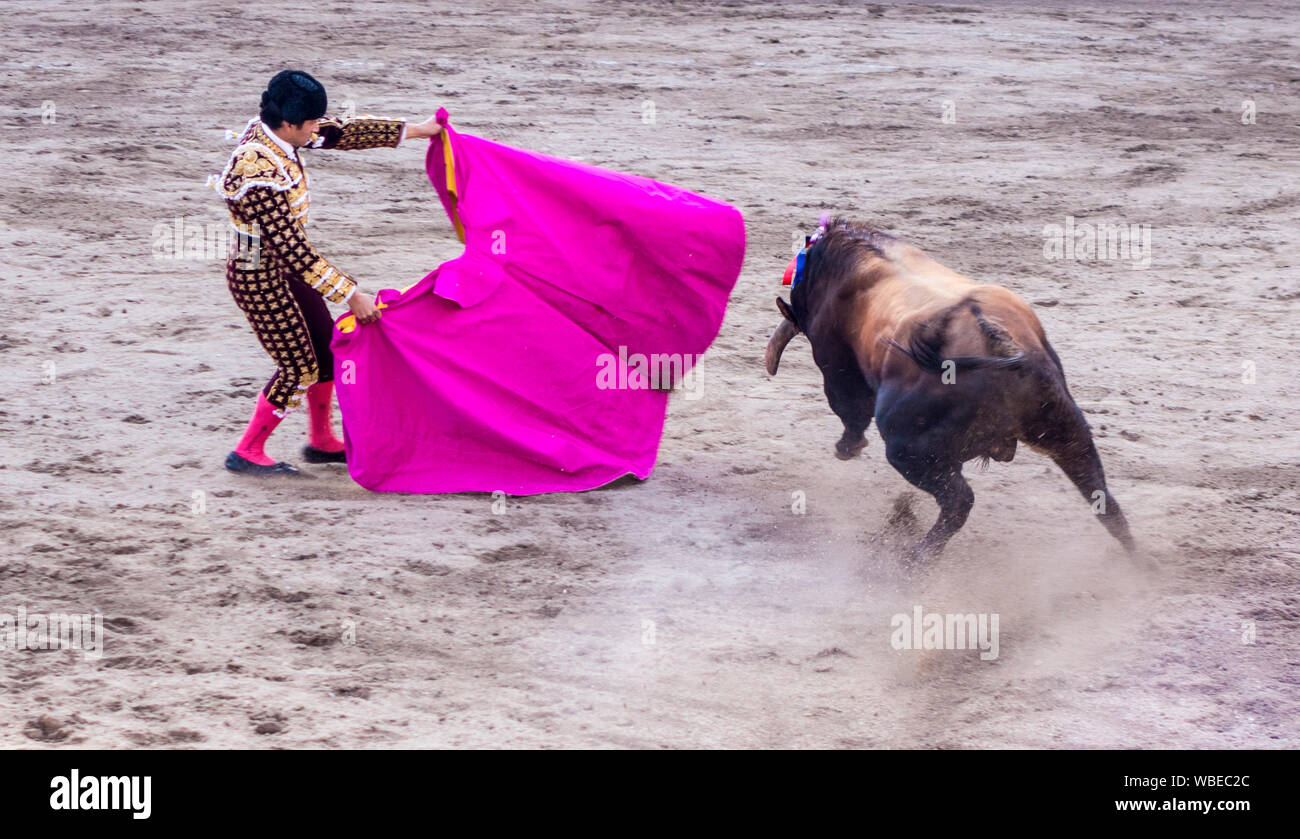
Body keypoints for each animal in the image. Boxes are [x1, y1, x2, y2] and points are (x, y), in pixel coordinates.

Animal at [766, 217, 1143, 565]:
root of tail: (1002, 347)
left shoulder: (834, 359)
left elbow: (848, 407)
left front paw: (847, 447)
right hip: (1066, 430)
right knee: (1102, 498)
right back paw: (1142, 565)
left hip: (908, 450)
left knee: (959, 501)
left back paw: (916, 559)